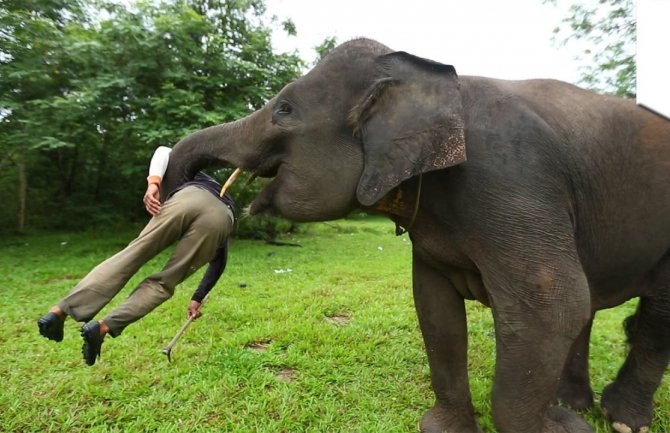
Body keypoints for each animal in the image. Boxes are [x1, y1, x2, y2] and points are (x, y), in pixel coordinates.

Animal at [160, 38, 668, 432]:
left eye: (283, 110)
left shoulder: (513, 176)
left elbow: (551, 302)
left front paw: (561, 427)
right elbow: (434, 305)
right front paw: (447, 428)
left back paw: (616, 419)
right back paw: (572, 404)